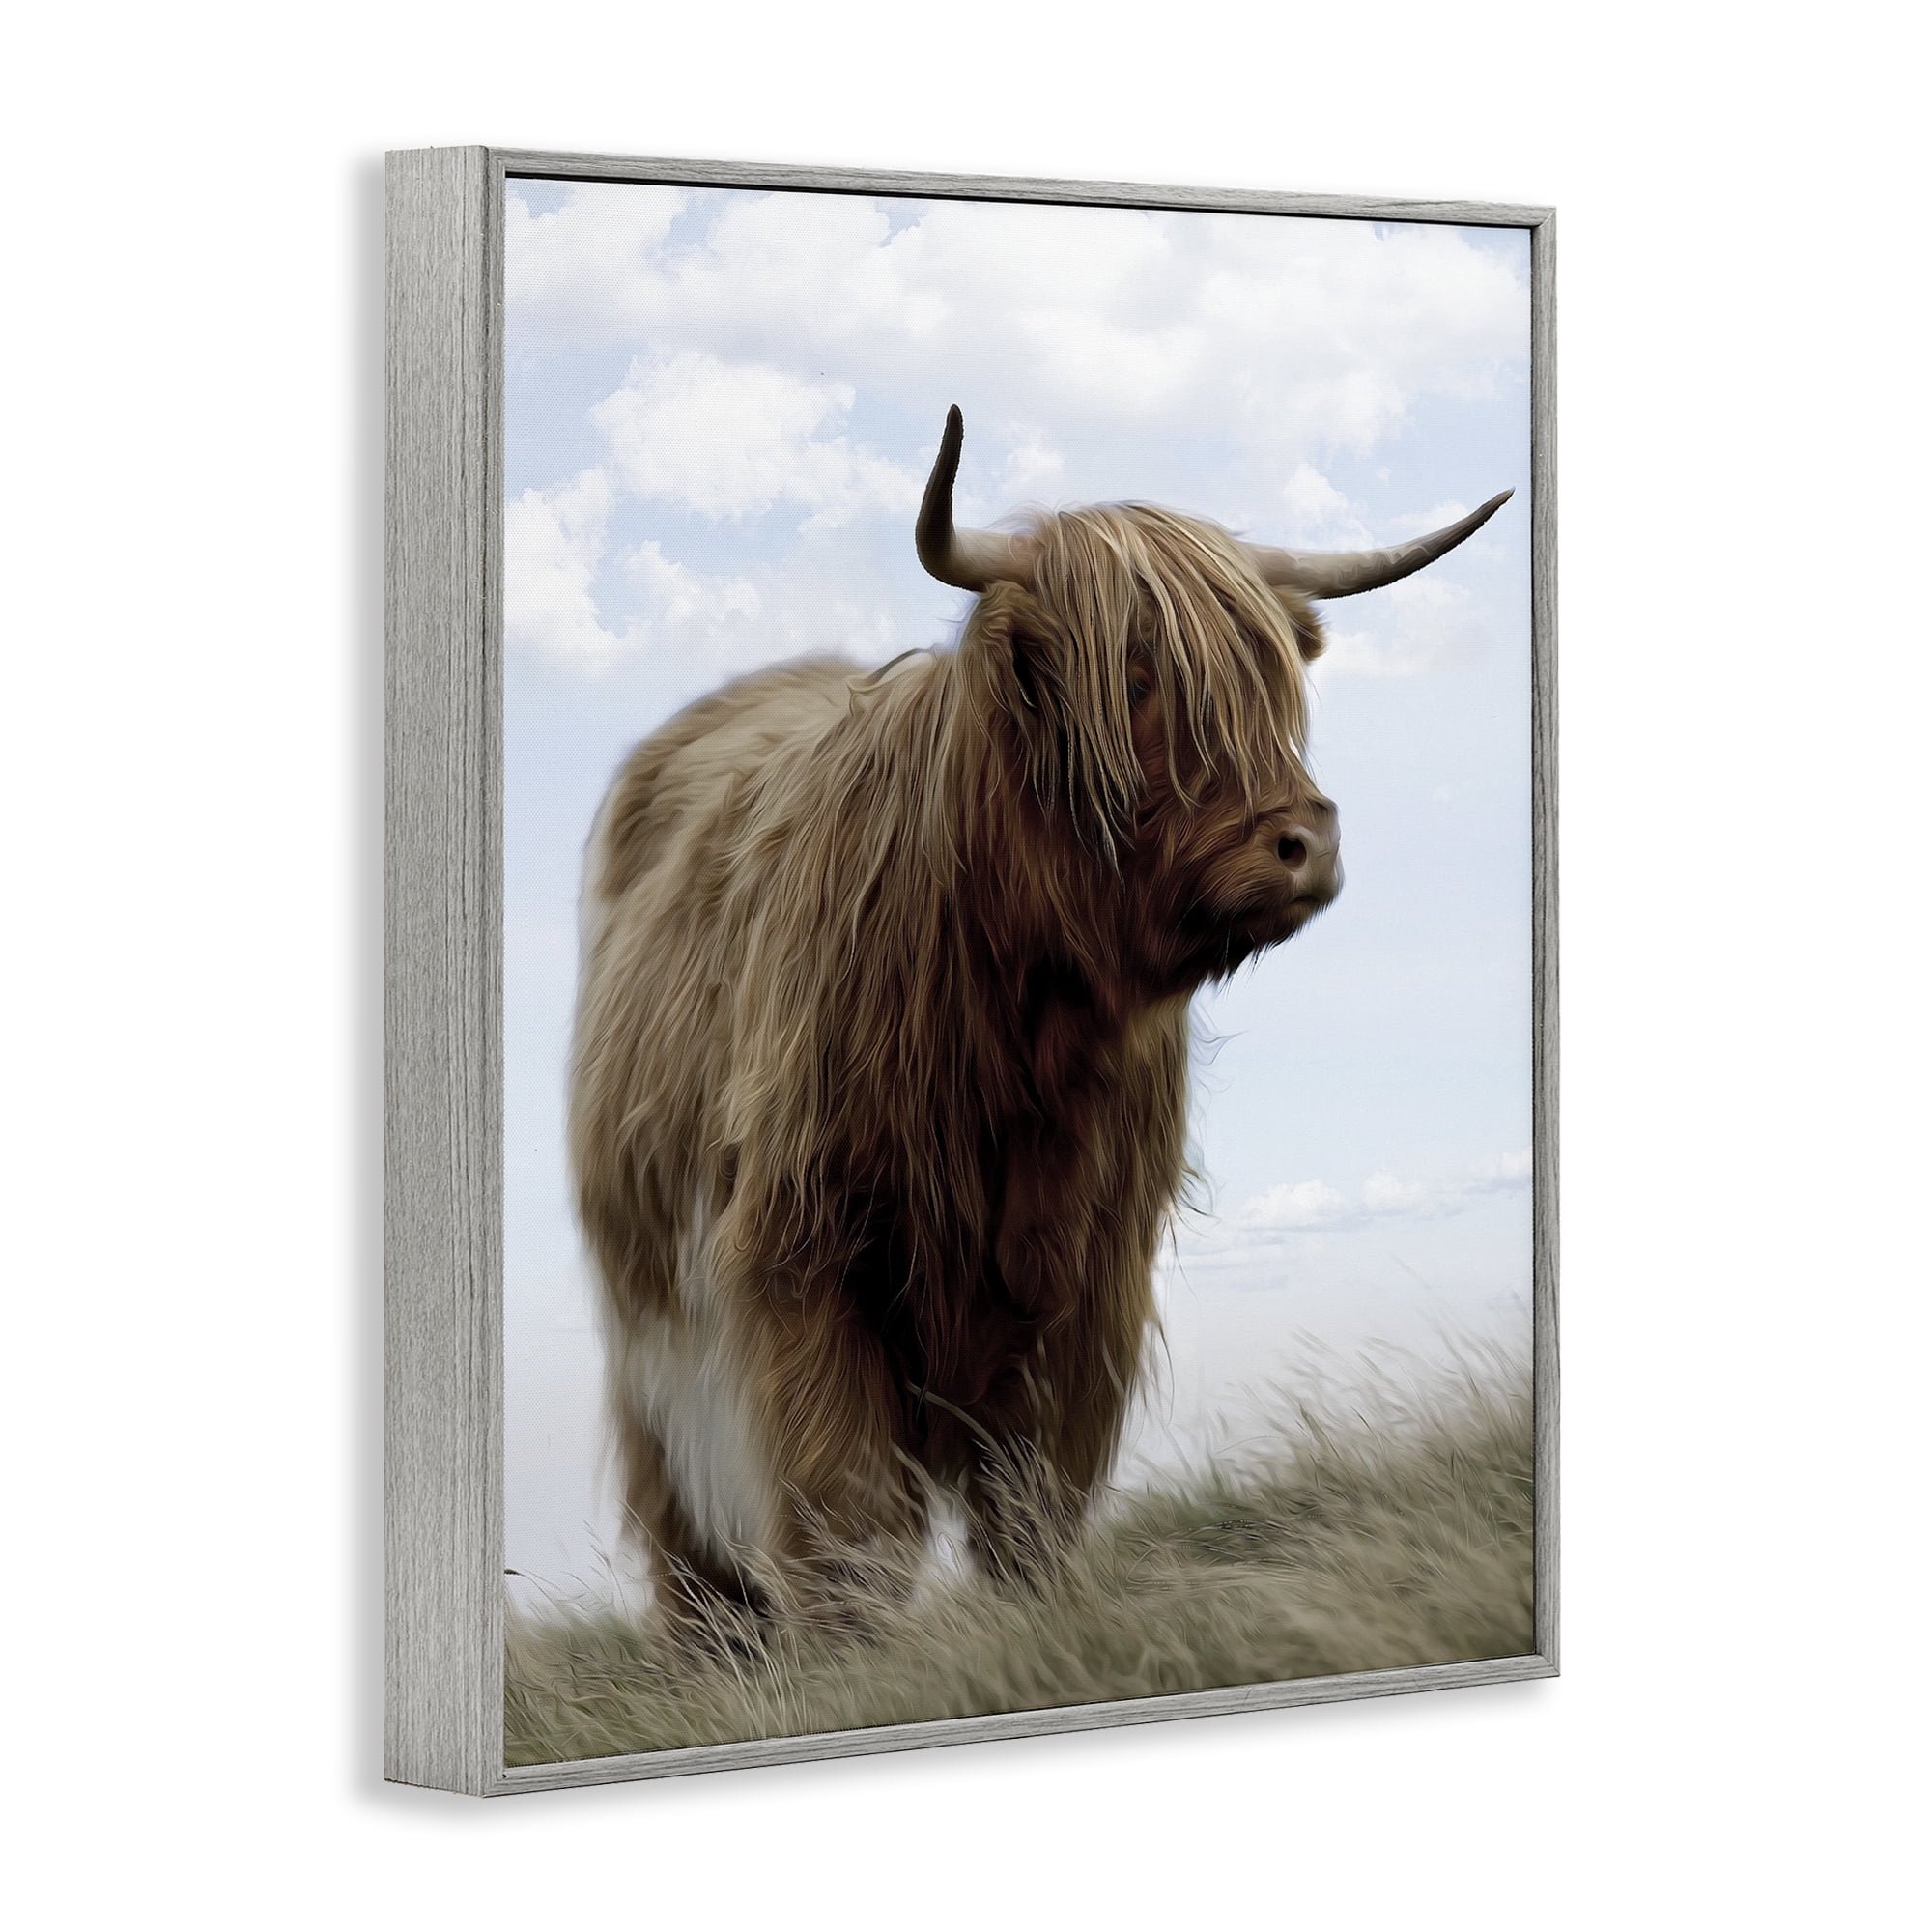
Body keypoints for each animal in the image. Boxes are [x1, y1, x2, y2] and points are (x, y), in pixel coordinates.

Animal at [569, 405, 1510, 1626]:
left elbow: (1033, 1496)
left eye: (1269, 679)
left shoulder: (1088, 1270)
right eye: (1136, 677)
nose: (1304, 840)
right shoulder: (801, 1244)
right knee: (686, 1522)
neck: (1020, 1025)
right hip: (650, 1323)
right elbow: (842, 1500)